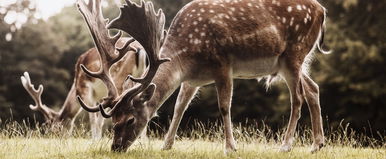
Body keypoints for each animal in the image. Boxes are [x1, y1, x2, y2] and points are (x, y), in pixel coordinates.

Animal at [77, 0, 330, 153]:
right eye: (113, 120)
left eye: (129, 119)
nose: (116, 148)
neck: (186, 60)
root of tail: (322, 11)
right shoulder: (191, 80)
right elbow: (179, 107)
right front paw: (166, 145)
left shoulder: (223, 64)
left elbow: (224, 106)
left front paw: (230, 147)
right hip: (291, 62)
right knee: (313, 88)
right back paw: (317, 144)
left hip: (294, 52)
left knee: (297, 97)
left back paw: (286, 146)